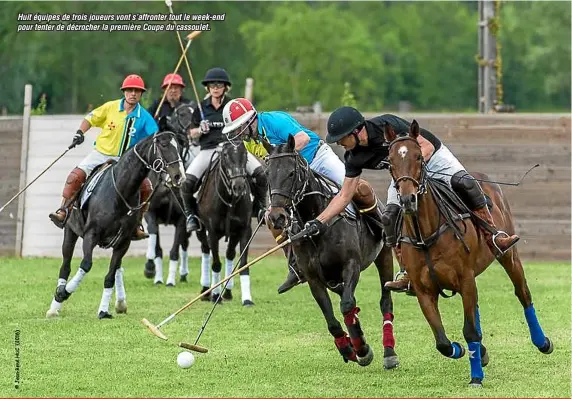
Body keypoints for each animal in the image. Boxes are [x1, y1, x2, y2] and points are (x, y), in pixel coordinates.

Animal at [47, 126, 187, 320]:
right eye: (164, 145)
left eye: (179, 147)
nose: (179, 176)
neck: (121, 191)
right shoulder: (91, 235)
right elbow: (86, 264)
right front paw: (63, 293)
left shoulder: (124, 242)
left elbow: (111, 275)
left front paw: (103, 310)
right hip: (70, 230)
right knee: (65, 265)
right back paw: (54, 307)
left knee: (118, 270)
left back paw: (120, 303)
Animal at [142, 101, 199, 286]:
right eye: (181, 114)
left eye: (179, 146)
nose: (178, 176)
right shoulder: (151, 214)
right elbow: (156, 244)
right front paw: (152, 270)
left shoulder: (182, 218)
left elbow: (175, 250)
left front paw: (170, 280)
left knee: (185, 244)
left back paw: (183, 273)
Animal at [196, 141, 254, 306]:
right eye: (226, 155)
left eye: (245, 154)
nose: (239, 186)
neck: (229, 200)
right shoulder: (212, 232)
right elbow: (215, 264)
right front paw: (215, 296)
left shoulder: (244, 230)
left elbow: (243, 264)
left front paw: (247, 299)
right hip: (200, 230)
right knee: (205, 250)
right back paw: (206, 290)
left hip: (233, 235)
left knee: (229, 254)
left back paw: (227, 291)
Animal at [262, 136, 398, 370]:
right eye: (268, 174)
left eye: (291, 173)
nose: (277, 217)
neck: (317, 222)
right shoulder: (314, 278)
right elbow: (332, 320)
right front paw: (348, 348)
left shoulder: (351, 265)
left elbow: (346, 305)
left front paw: (362, 349)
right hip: (331, 278)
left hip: (384, 255)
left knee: (384, 301)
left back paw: (389, 353)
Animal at [384, 121, 556, 388]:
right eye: (390, 160)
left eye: (419, 157)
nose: (407, 199)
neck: (427, 234)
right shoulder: (424, 291)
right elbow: (442, 341)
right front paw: (464, 351)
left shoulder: (464, 278)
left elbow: (469, 330)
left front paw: (476, 376)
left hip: (508, 256)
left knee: (522, 293)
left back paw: (543, 342)